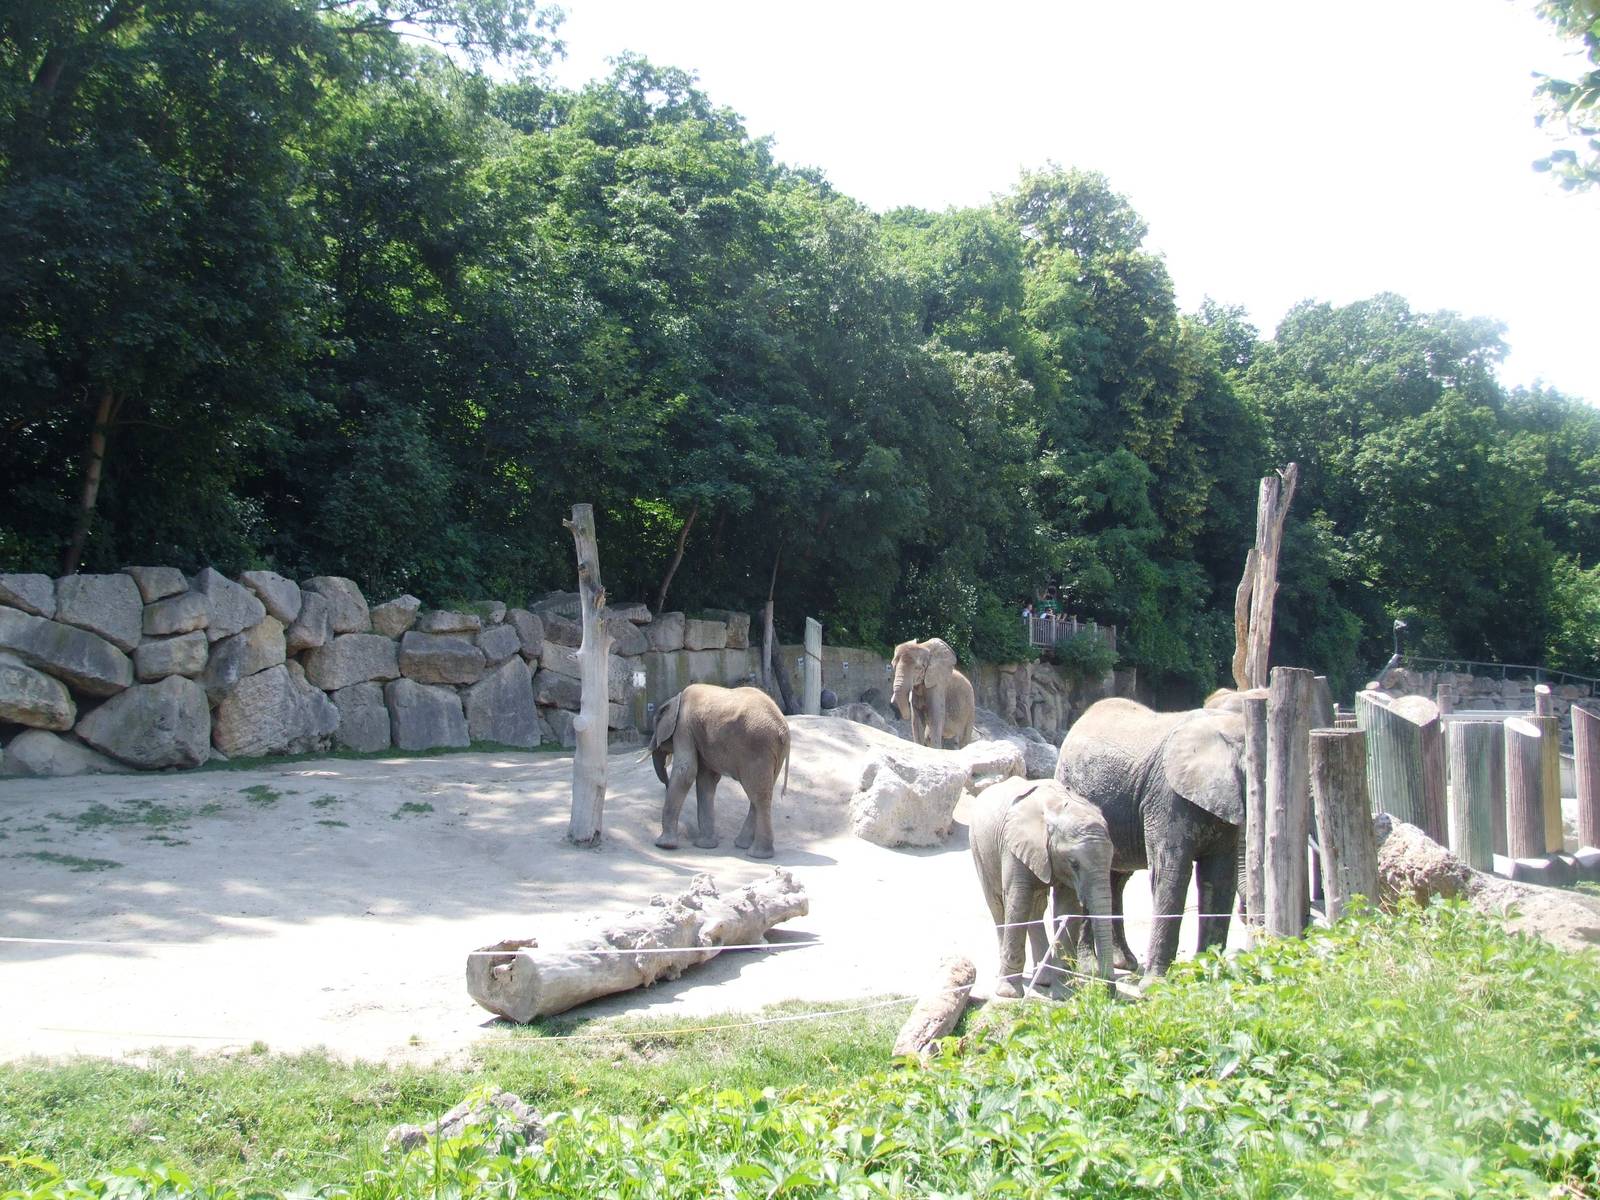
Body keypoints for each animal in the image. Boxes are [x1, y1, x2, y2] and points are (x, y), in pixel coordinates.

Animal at [650, 684, 791, 859]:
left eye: (655, 724)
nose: (666, 785)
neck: (676, 699)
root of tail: (783, 730)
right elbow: (706, 779)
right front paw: (705, 846)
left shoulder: (683, 727)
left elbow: (686, 771)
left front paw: (664, 846)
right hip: (775, 752)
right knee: (760, 794)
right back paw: (744, 846)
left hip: (757, 749)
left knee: (759, 796)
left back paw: (757, 854)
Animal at [968, 776, 1116, 997]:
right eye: (1074, 863)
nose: (1109, 992)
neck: (1057, 808)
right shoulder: (1013, 845)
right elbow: (1018, 902)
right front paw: (1009, 994)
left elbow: (1067, 907)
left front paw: (1065, 991)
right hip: (979, 847)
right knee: (998, 905)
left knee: (1036, 907)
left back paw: (1044, 980)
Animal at [1054, 697, 1245, 977]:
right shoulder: (1168, 800)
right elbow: (1171, 874)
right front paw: (1156, 982)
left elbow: (1219, 878)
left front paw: (1210, 976)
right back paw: (1090, 968)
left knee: (1115, 878)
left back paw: (1124, 962)